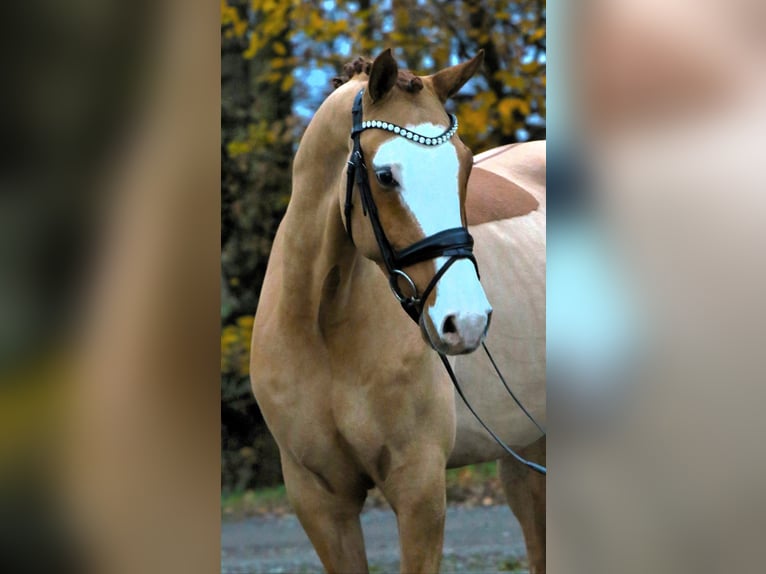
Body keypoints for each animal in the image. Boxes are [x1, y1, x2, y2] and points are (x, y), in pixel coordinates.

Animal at [250, 50, 544, 574]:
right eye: (385, 175)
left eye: (465, 167)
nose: (466, 321)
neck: (321, 329)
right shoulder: (319, 501)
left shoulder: (419, 487)